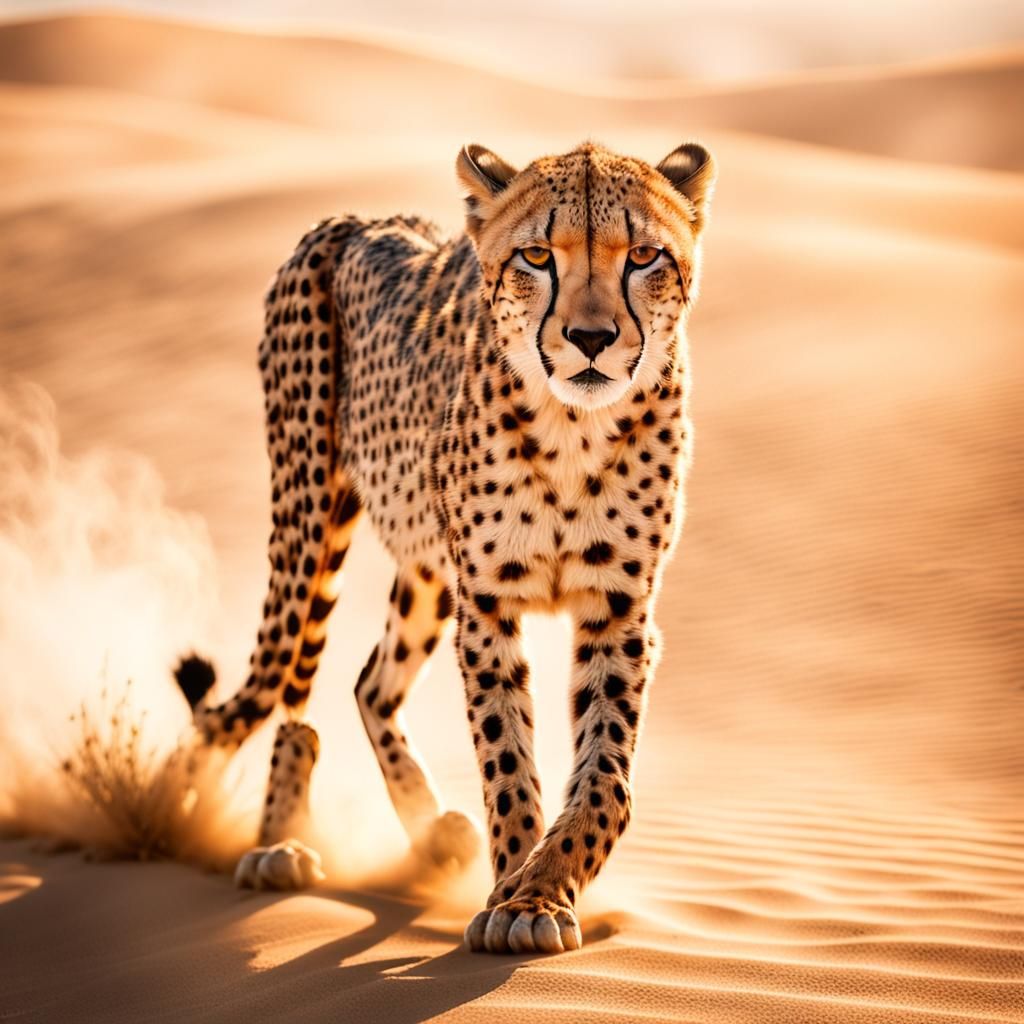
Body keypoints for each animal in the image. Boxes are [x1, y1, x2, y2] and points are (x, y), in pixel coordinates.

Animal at [172, 140, 716, 955]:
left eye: (645, 256)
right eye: (536, 256)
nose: (590, 340)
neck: (574, 429)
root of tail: (354, 219)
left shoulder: (618, 611)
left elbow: (603, 777)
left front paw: (541, 890)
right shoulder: (487, 607)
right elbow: (506, 762)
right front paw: (513, 894)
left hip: (426, 574)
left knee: (369, 683)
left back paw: (430, 833)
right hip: (310, 525)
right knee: (275, 690)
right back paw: (273, 843)